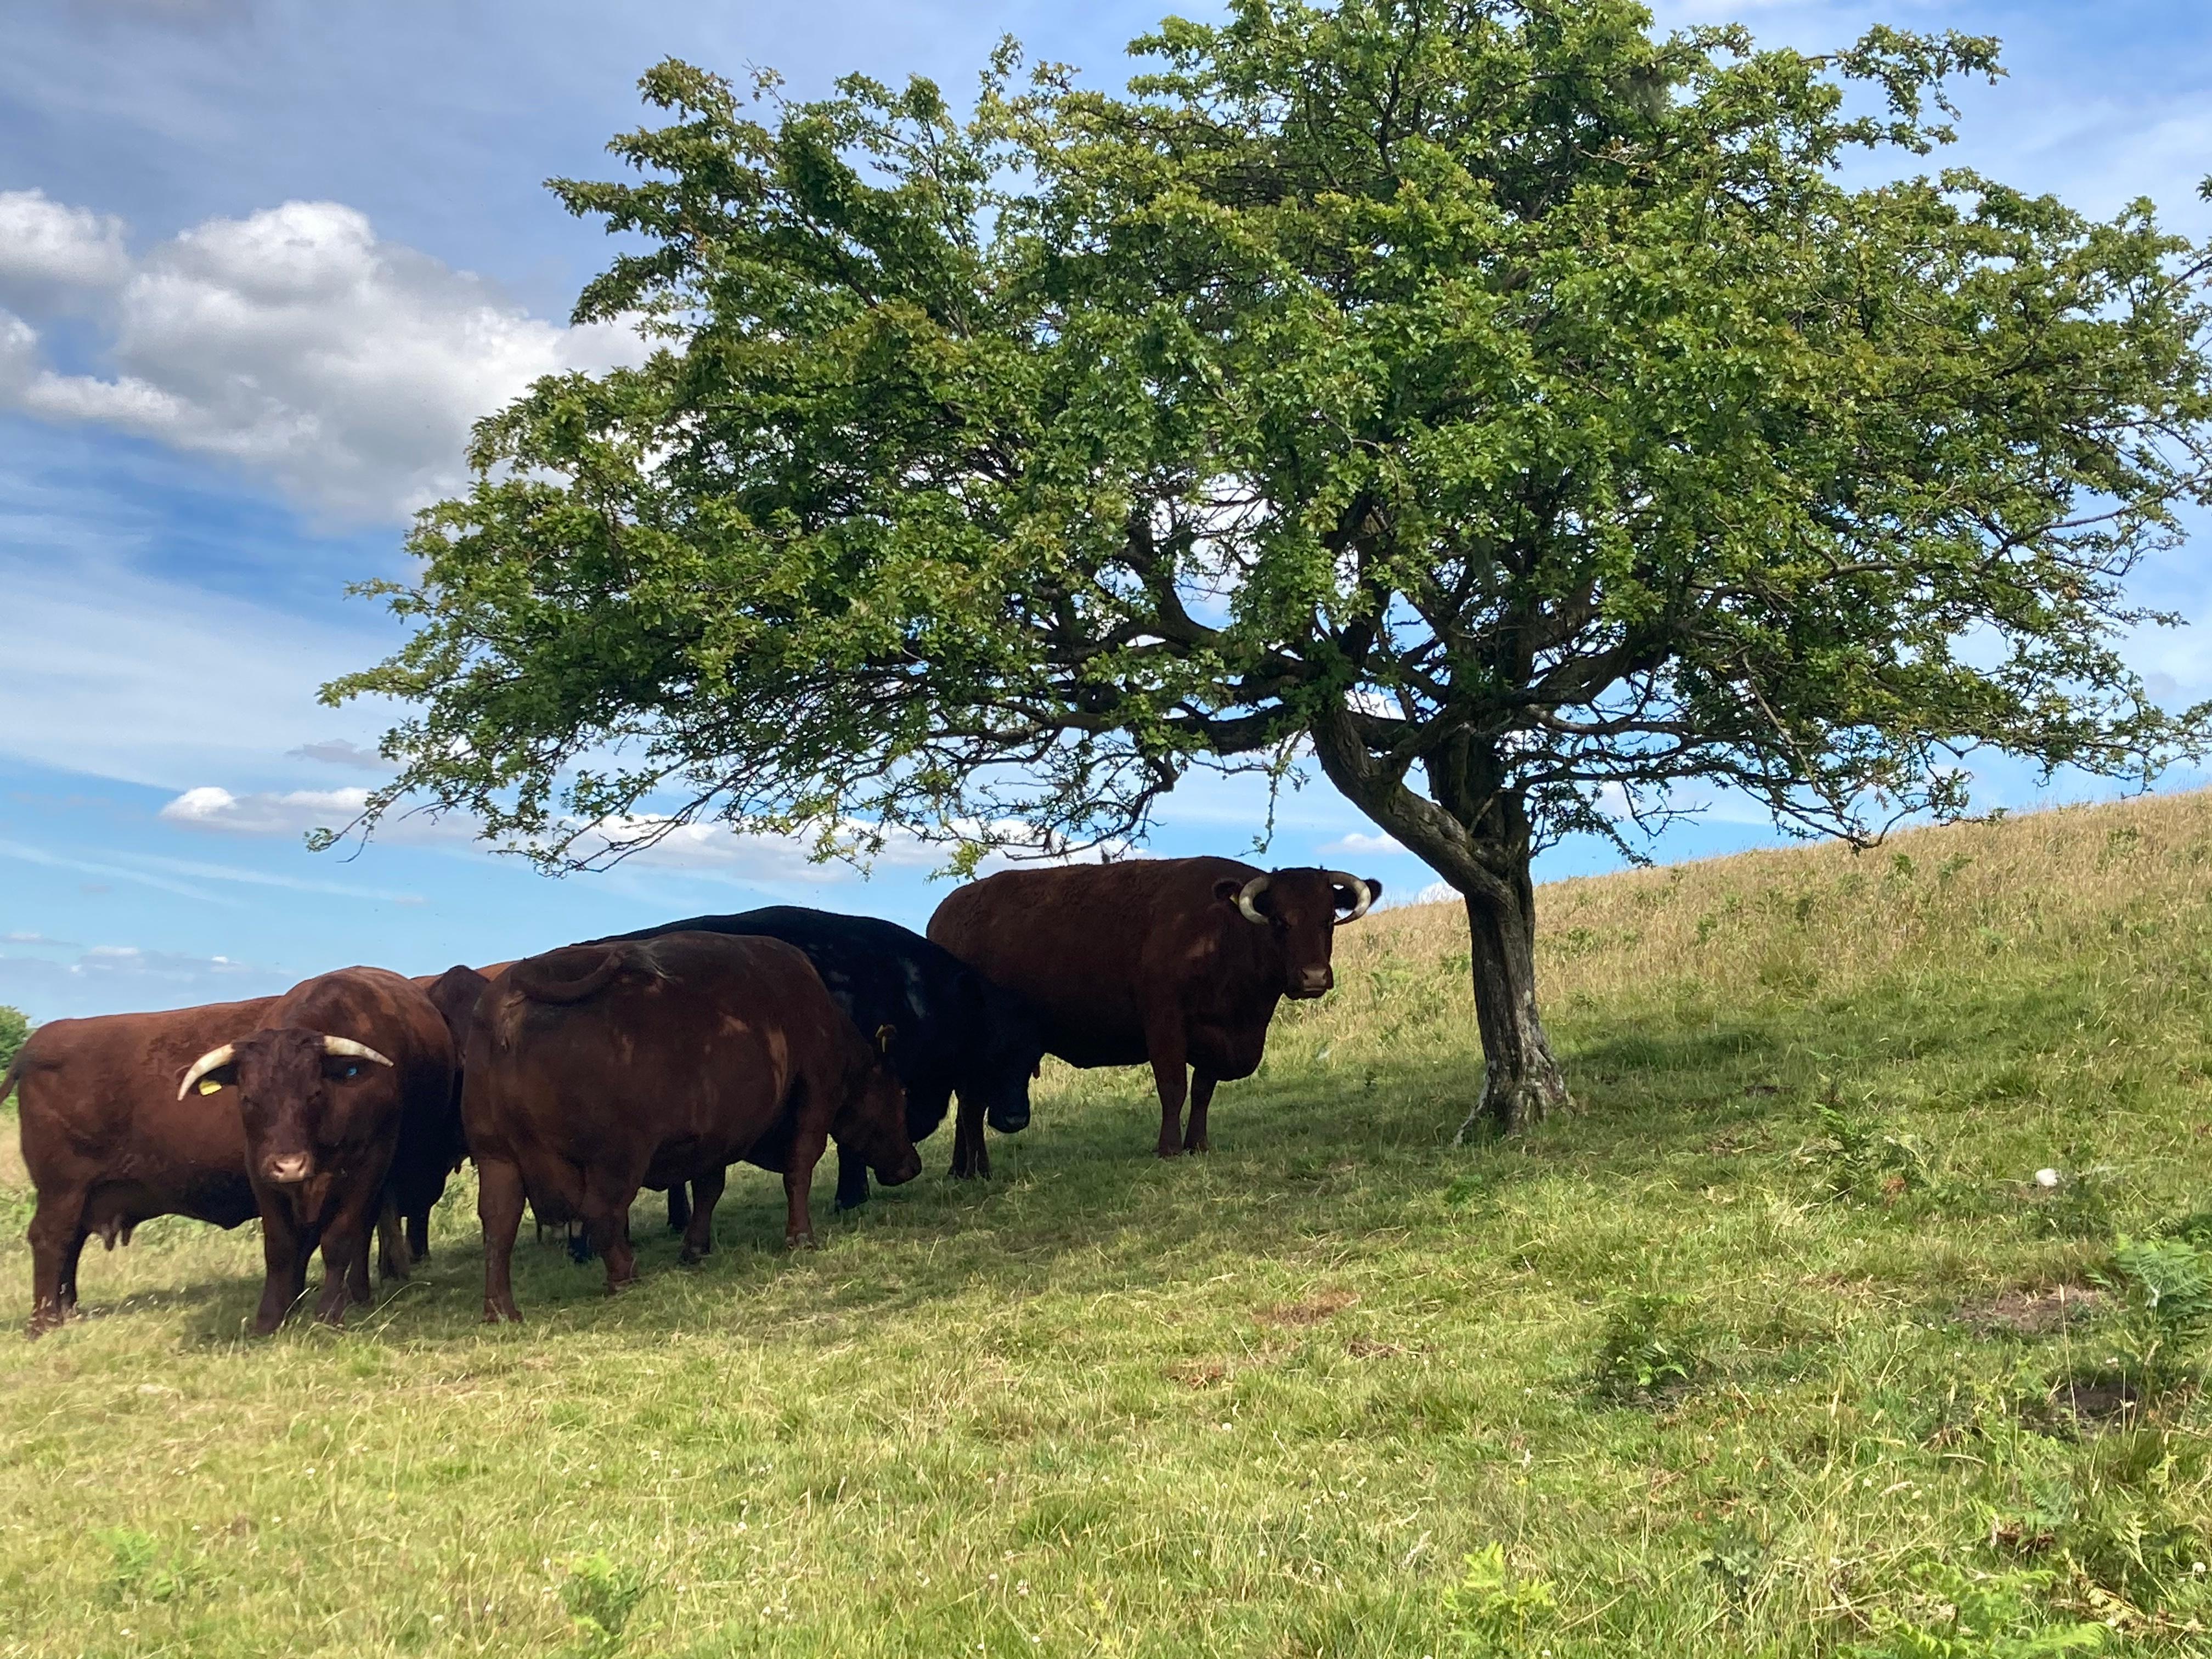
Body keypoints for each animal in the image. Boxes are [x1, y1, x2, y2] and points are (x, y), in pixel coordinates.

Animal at [15, 1000, 279, 1336]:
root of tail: (37, 1043)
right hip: (62, 1189)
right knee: (50, 1238)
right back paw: (44, 1324)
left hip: (79, 1195)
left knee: (70, 1242)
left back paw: (69, 1314)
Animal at [181, 973, 458, 1336]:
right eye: (247, 1098)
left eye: (314, 1094)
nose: (289, 1166)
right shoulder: (260, 1169)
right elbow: (280, 1246)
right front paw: (271, 1315)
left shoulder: (369, 1163)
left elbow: (340, 1239)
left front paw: (329, 1312)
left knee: (362, 1231)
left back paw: (357, 1292)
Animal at [462, 929, 920, 1318]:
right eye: (900, 1095)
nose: (912, 1165)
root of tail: (518, 981)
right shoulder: (814, 1104)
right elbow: (798, 1172)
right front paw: (801, 1238)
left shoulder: (714, 1138)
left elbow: (709, 1189)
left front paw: (696, 1249)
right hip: (616, 1156)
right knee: (601, 1213)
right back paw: (624, 1274)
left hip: (496, 1158)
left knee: (498, 1225)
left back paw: (501, 1310)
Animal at [924, 862, 1371, 1159]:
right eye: (1278, 920)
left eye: (1328, 920)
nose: (1314, 977)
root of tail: (945, 912)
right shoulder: (1165, 1022)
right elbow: (1173, 1087)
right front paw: (1169, 1148)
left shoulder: (1217, 1036)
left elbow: (1204, 1091)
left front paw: (1198, 1145)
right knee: (970, 1105)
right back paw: (974, 1168)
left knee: (968, 1106)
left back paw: (963, 1170)